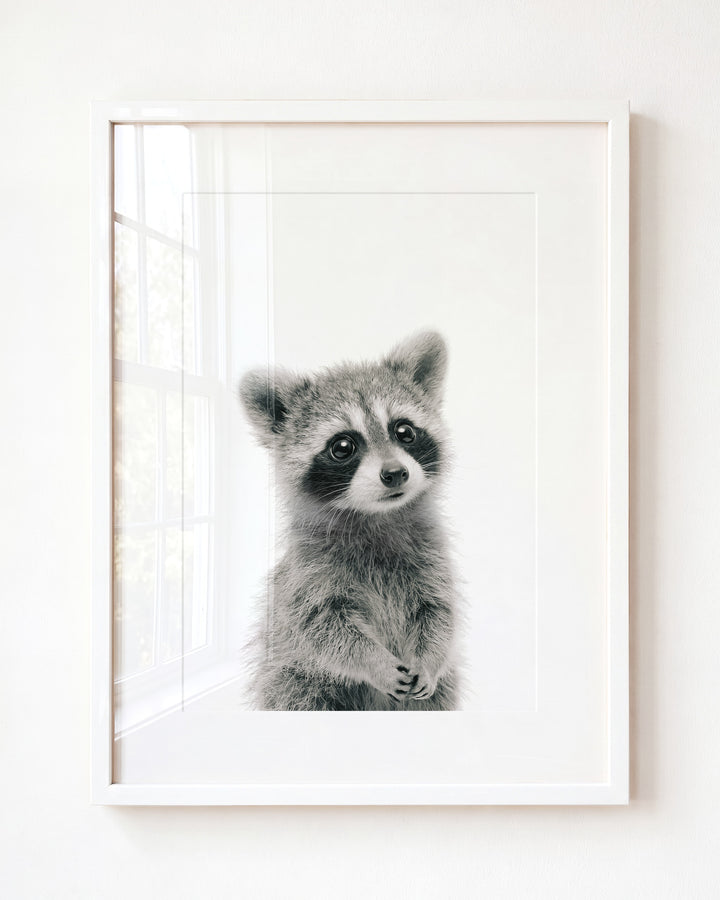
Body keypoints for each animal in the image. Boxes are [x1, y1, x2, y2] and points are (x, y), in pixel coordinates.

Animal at [239, 331, 461, 711]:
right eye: (343, 447)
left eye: (404, 431)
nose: (395, 473)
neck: (376, 516)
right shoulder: (308, 575)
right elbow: (325, 629)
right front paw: (375, 663)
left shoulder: (432, 558)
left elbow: (438, 612)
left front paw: (429, 659)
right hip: (294, 680)